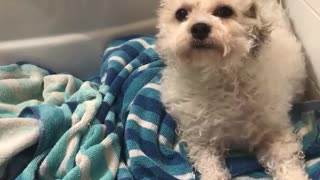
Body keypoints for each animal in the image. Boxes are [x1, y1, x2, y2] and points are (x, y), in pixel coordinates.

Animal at [156, 0, 308, 179]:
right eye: (181, 13)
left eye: (224, 11)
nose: (199, 28)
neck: (219, 78)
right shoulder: (201, 140)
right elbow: (210, 168)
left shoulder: (274, 132)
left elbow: (286, 162)